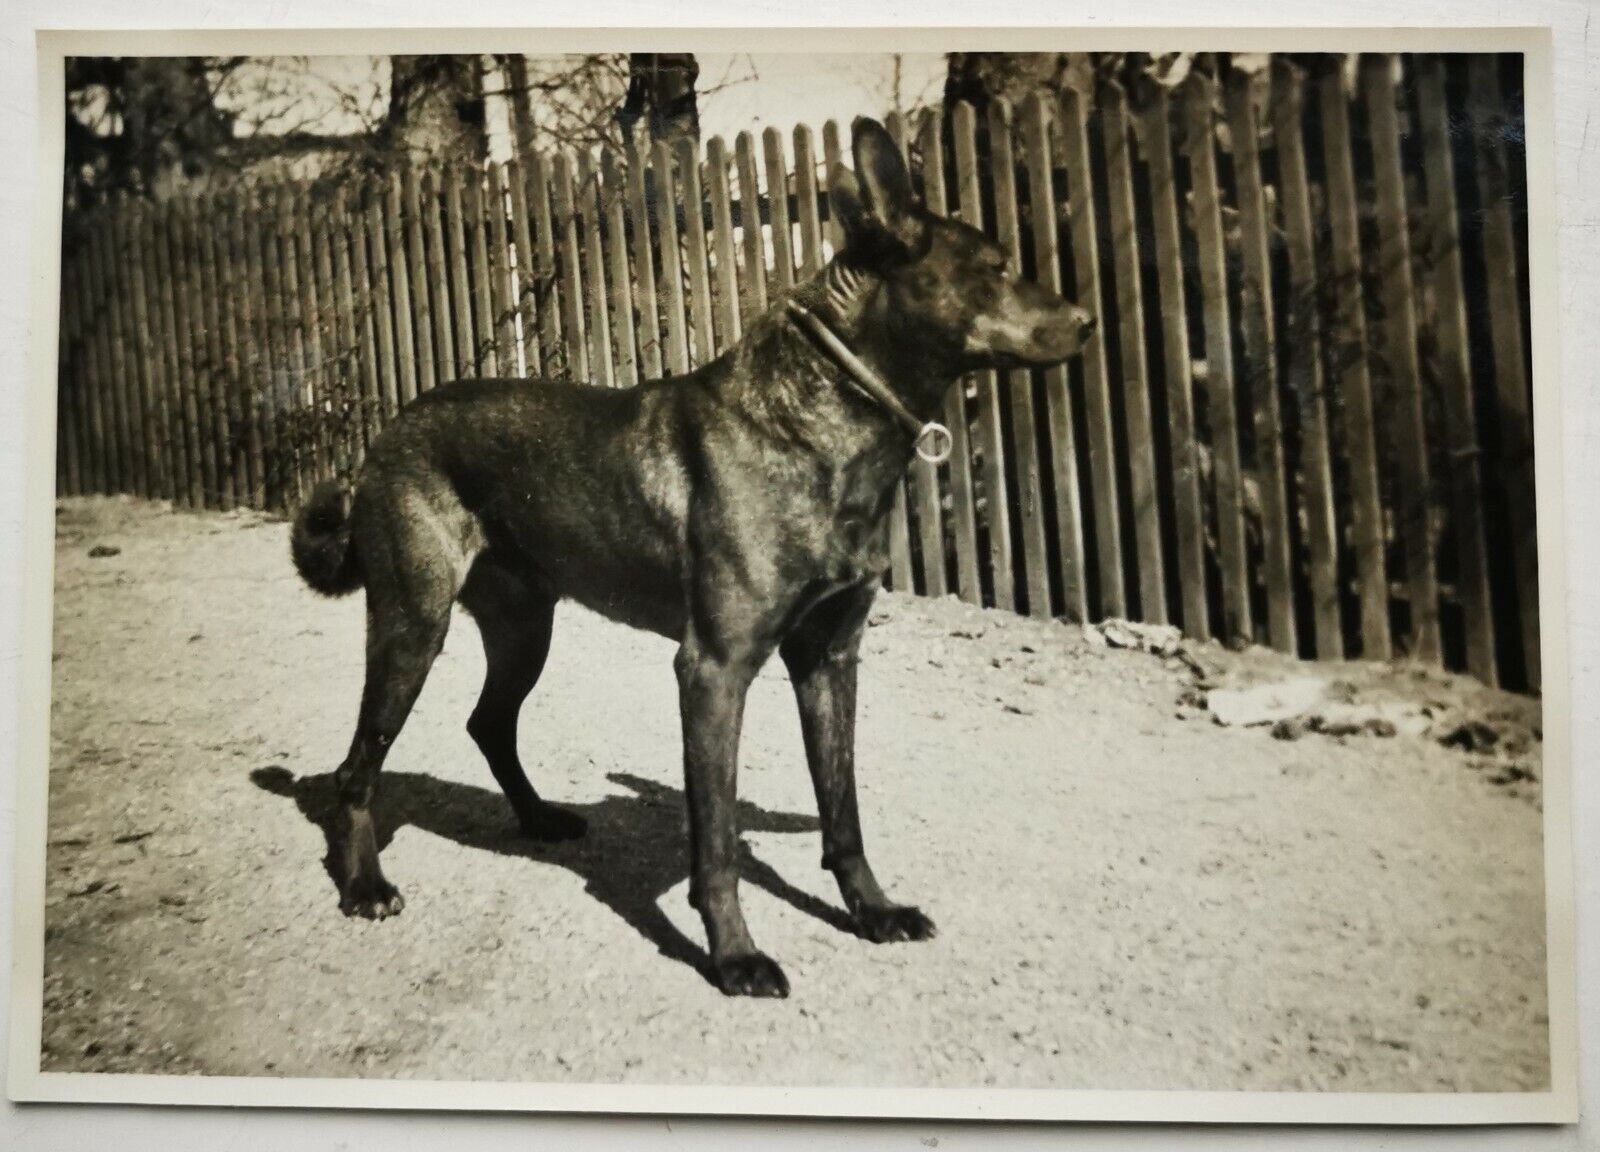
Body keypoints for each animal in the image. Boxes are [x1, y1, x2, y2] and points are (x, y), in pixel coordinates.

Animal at [291, 119, 1100, 998]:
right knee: (357, 770)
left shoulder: (830, 660)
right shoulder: (714, 669)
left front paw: (872, 912)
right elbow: (714, 843)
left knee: (488, 723)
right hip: (413, 626)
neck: (822, 425)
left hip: (523, 629)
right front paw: (734, 956)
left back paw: (535, 818)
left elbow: (843, 812)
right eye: (996, 267)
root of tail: (387, 433)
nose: (1090, 321)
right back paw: (365, 885)